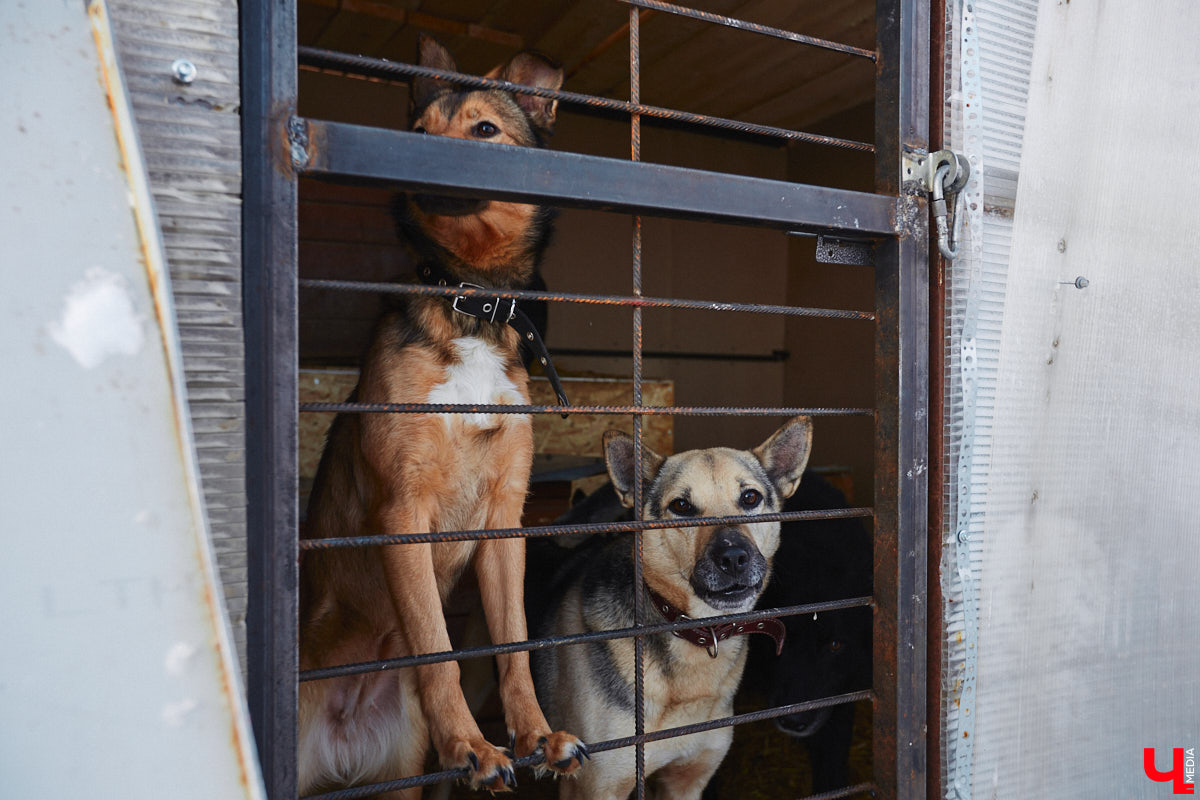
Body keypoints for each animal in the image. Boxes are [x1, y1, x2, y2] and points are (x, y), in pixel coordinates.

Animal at [297, 34, 583, 796]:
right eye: (417, 133)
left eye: (484, 130)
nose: (412, 169)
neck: (471, 299)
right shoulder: (404, 512)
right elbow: (436, 645)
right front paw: (472, 745)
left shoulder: (506, 519)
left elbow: (513, 645)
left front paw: (535, 734)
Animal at [532, 419, 816, 800]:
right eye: (681, 506)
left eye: (750, 498)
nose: (734, 558)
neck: (694, 632)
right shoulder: (595, 787)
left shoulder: (686, 781)